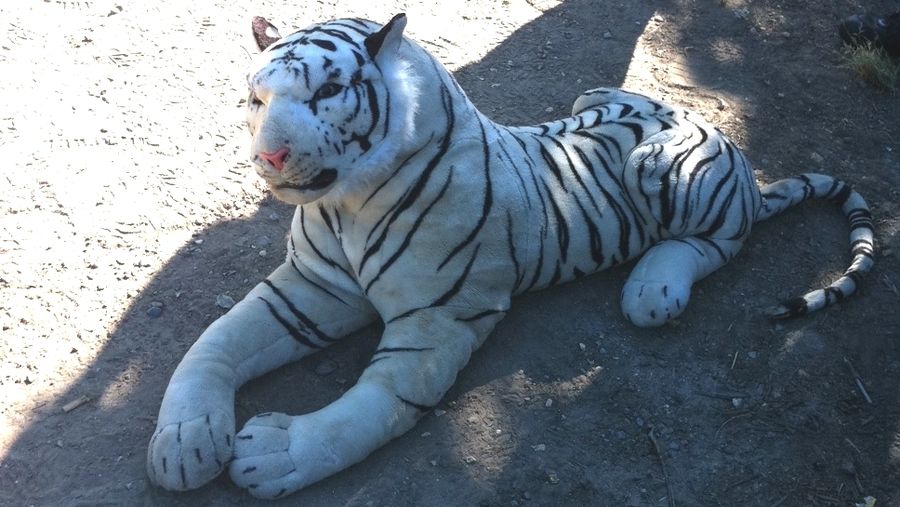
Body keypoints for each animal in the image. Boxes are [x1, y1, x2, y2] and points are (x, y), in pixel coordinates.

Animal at [146, 13, 875, 499]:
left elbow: (367, 412)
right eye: (256, 98)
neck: (344, 202)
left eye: (325, 94)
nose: (267, 156)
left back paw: (654, 289)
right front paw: (185, 440)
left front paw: (276, 453)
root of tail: (731, 151)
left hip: (662, 169)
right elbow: (214, 340)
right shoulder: (310, 288)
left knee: (723, 236)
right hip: (594, 96)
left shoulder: (432, 327)